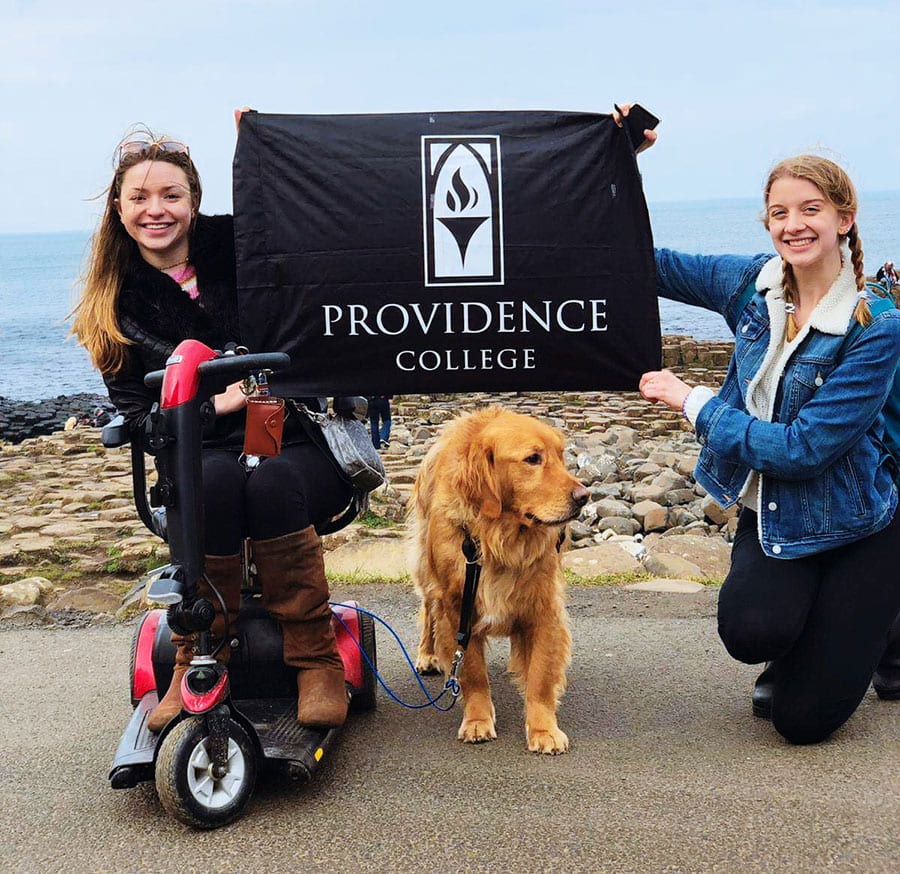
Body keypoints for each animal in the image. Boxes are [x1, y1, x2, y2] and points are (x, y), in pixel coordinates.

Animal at [410, 406, 592, 752]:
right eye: (533, 459)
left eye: (562, 456)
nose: (584, 496)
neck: (499, 539)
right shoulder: (458, 608)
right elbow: (472, 672)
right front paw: (478, 720)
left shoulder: (543, 606)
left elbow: (540, 677)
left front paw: (543, 729)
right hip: (428, 572)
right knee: (428, 610)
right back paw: (427, 654)